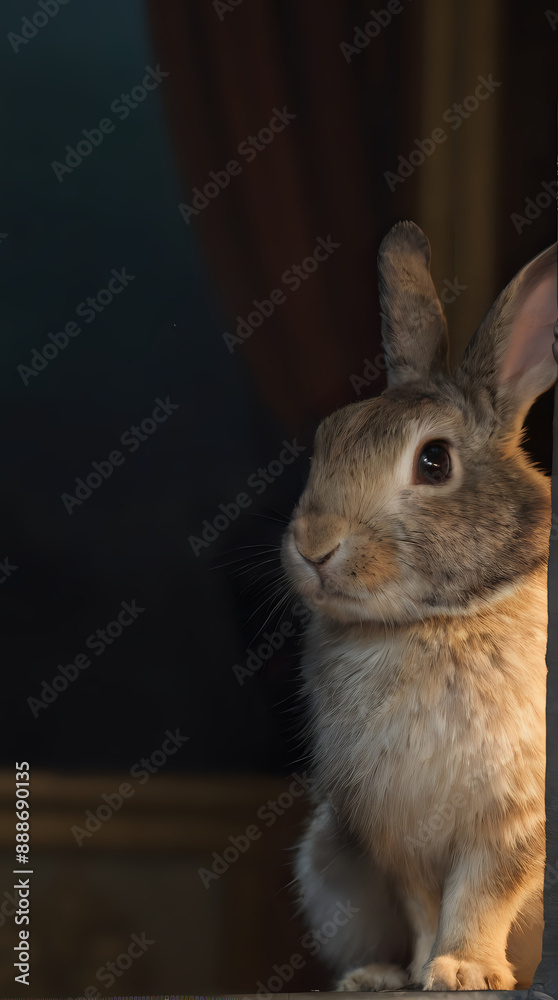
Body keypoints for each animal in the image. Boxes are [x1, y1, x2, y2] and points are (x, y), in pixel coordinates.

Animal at [281, 220, 557, 991]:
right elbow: (422, 904)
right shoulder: (395, 833)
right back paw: (373, 975)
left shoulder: (514, 816)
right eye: (328, 438)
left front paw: (465, 970)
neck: (434, 621)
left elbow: (484, 891)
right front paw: (423, 969)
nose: (314, 545)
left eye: (434, 461)